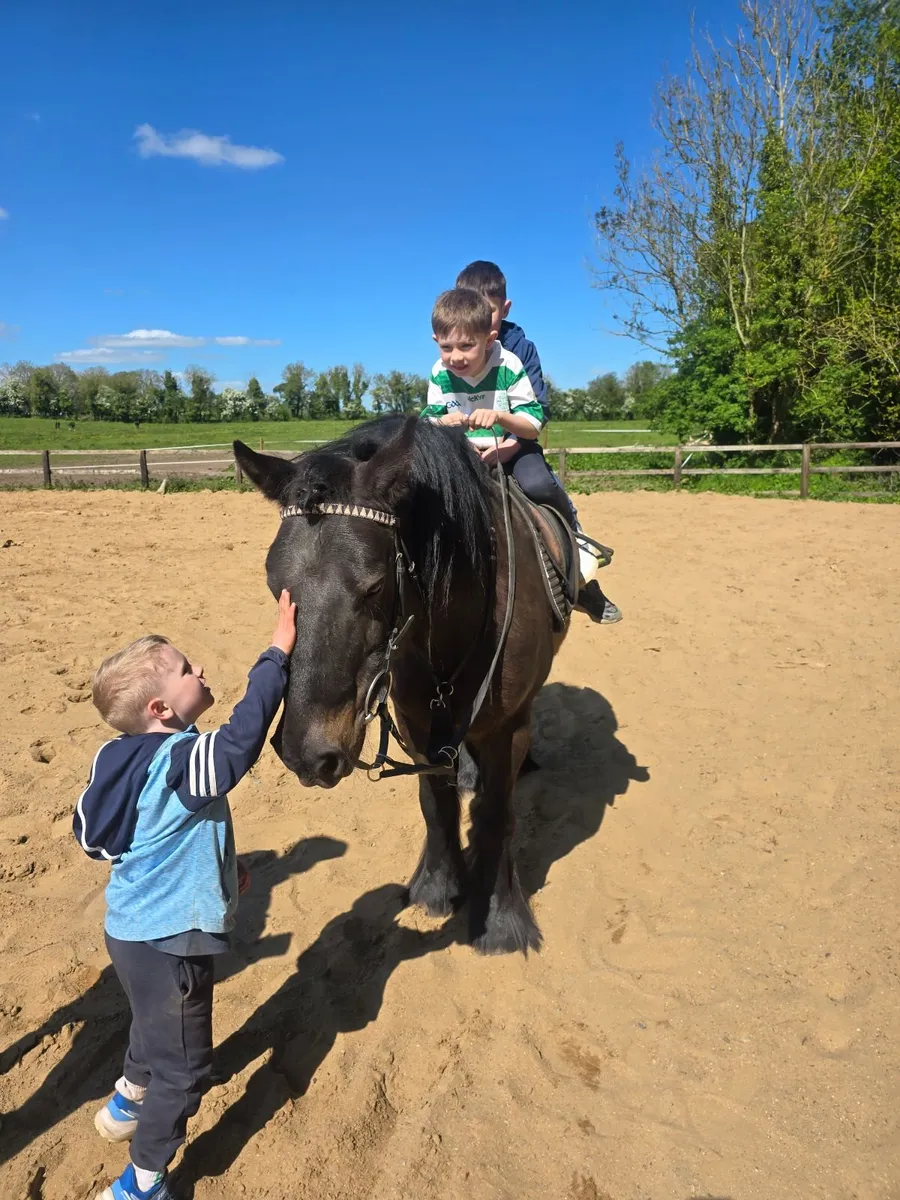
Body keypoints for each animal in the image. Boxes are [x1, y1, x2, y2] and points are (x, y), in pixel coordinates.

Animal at [234, 414, 570, 954]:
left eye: (374, 585)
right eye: (272, 584)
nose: (307, 754)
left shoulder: (506, 729)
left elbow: (498, 814)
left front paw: (500, 920)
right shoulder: (416, 723)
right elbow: (435, 804)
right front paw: (436, 887)